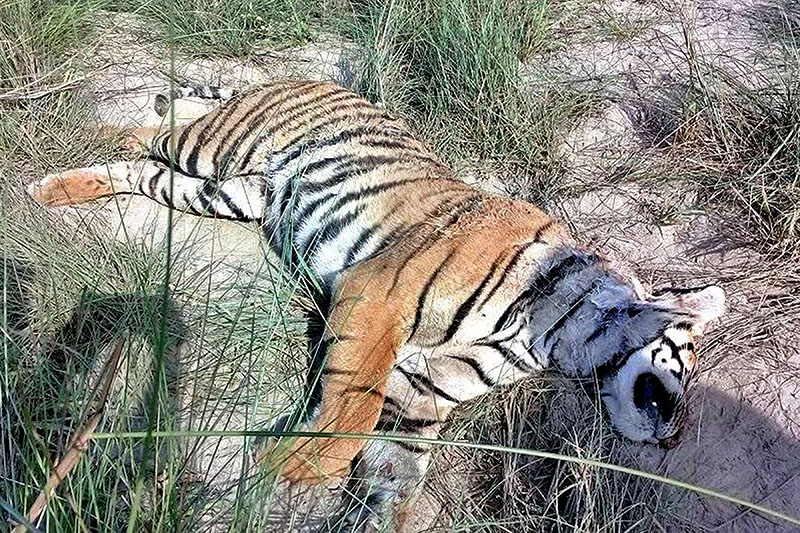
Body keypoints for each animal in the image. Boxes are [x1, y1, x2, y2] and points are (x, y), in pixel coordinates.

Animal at [27, 79, 725, 532]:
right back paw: (66, 136)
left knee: (143, 174)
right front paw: (291, 464)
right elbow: (353, 408)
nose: (674, 440)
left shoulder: (419, 398)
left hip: (227, 192)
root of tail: (299, 75)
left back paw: (57, 189)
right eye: (683, 371)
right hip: (216, 141)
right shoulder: (378, 295)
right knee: (147, 130)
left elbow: (400, 475)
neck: (546, 340)